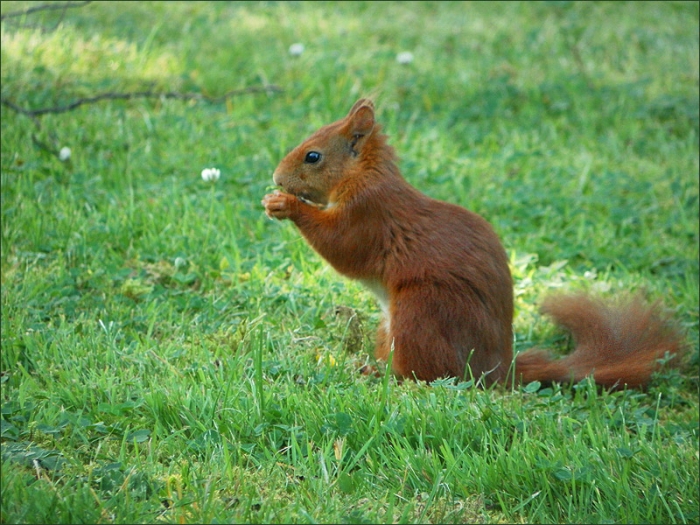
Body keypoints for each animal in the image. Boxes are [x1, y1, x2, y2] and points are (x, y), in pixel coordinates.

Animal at [262, 99, 685, 388]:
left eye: (312, 156)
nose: (277, 178)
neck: (363, 175)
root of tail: (497, 371)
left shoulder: (369, 214)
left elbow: (343, 247)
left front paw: (286, 205)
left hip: (421, 311)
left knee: (427, 374)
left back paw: (381, 375)